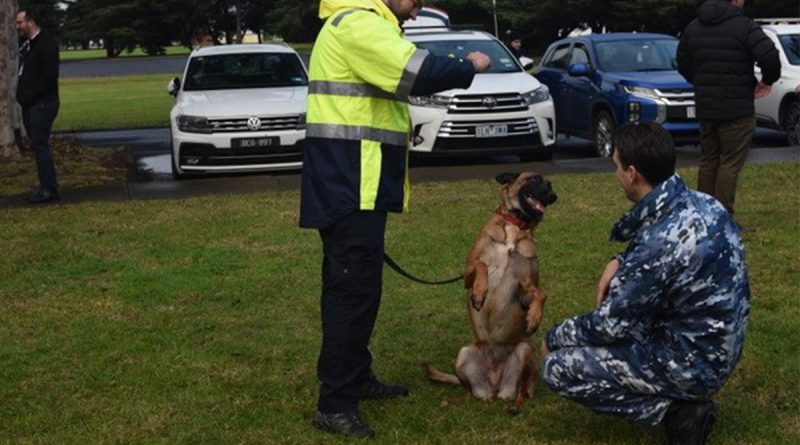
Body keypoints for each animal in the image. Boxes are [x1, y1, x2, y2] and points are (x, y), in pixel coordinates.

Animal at [424, 172, 556, 414]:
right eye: (535, 179)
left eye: (550, 184)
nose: (553, 196)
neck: (515, 226)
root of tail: (495, 388)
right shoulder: (468, 273)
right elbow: (482, 266)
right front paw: (480, 293)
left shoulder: (526, 286)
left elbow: (541, 293)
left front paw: (534, 317)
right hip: (464, 355)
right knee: (467, 391)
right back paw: (454, 402)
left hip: (525, 350)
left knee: (524, 391)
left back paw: (515, 405)